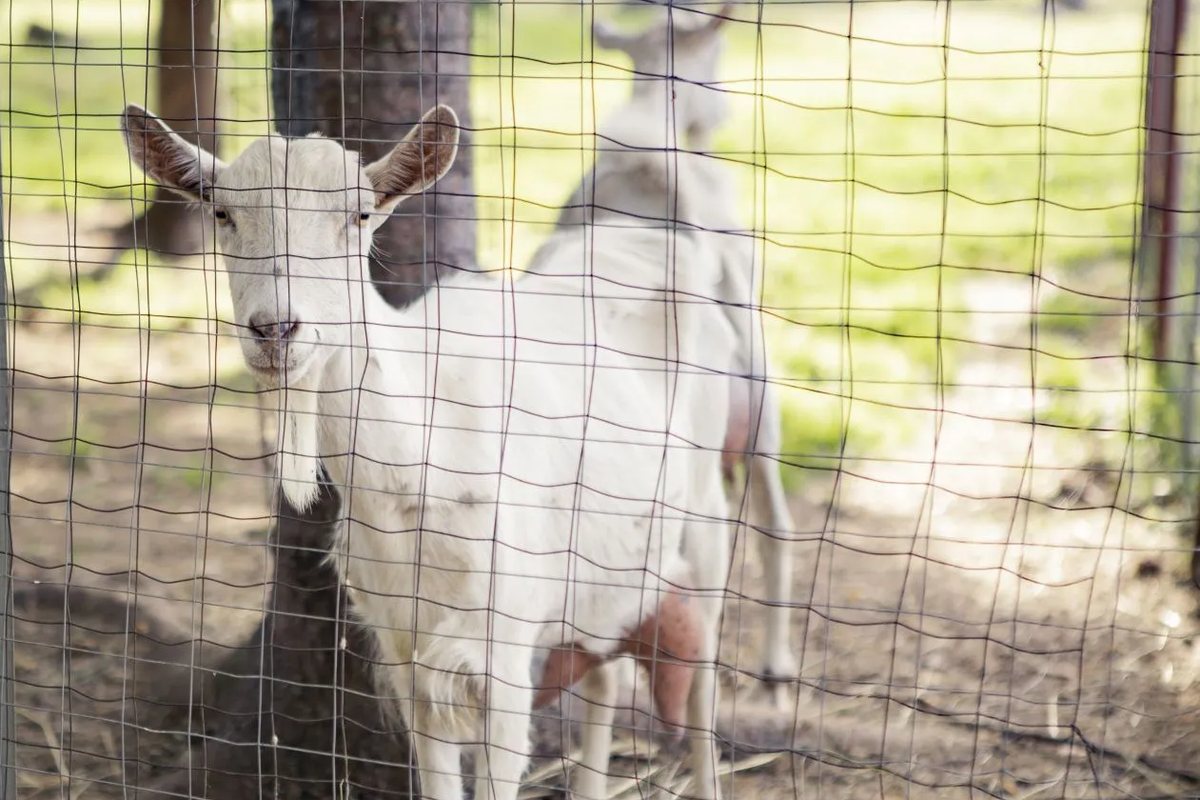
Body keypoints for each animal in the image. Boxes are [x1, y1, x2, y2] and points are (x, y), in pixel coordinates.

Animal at [122, 104, 734, 800]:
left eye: (360, 215)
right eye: (222, 212)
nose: (275, 330)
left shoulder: (503, 652)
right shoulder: (405, 654)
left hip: (707, 517)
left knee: (704, 684)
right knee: (602, 673)